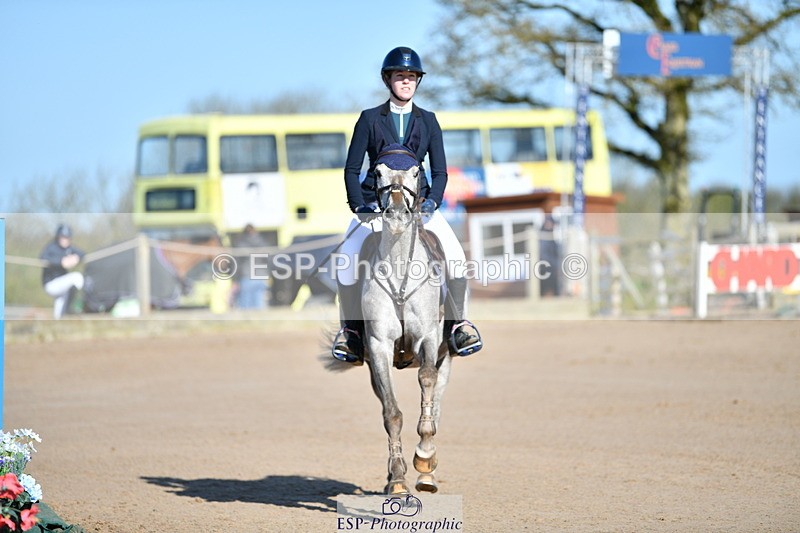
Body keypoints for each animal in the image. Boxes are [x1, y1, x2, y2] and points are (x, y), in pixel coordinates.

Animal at [357, 146, 453, 495]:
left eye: (415, 172)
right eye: (377, 172)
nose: (397, 212)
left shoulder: (428, 339)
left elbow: (425, 380)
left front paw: (424, 457)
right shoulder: (379, 347)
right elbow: (392, 413)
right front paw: (397, 479)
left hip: (446, 358)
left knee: (436, 406)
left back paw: (428, 475)